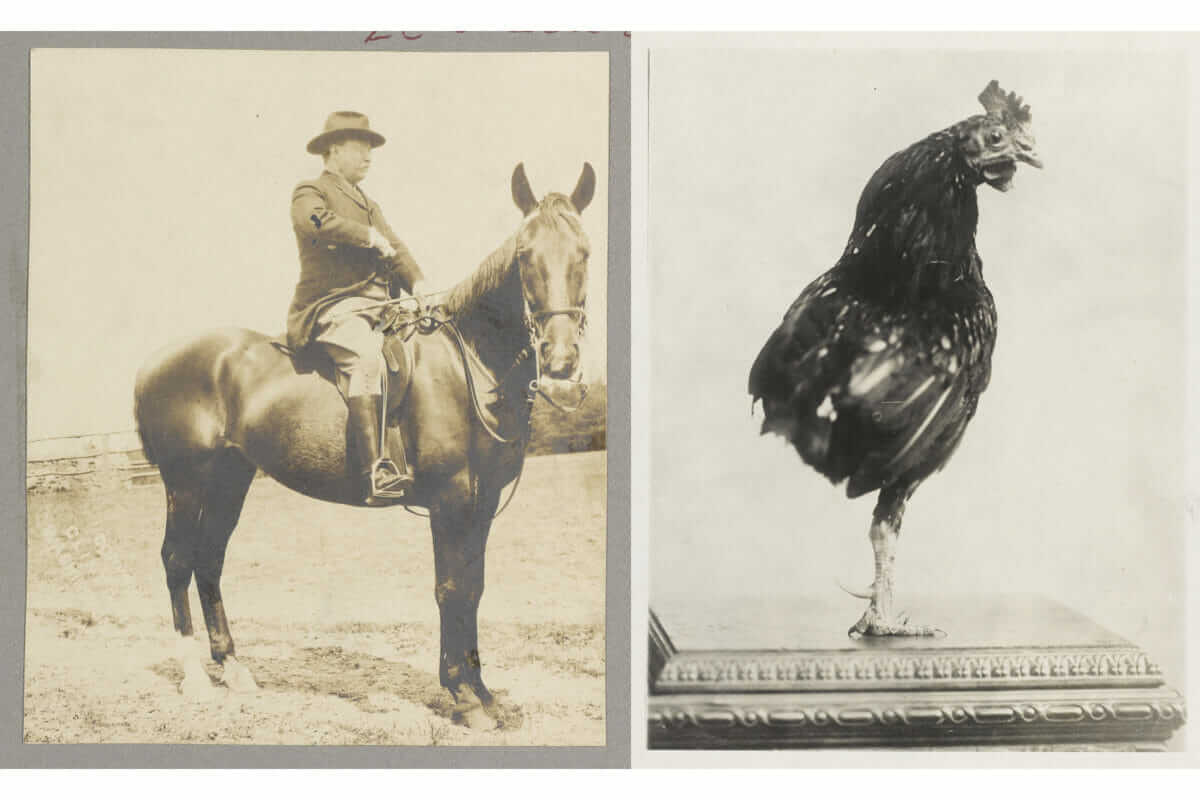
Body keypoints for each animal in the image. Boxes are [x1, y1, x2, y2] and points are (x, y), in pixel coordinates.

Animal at [135, 163, 595, 724]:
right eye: (525, 253)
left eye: (584, 251)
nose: (560, 360)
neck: (468, 360)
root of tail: (156, 362)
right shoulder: (451, 499)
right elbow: (451, 589)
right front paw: (463, 695)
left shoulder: (481, 502)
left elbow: (474, 587)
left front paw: (483, 693)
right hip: (184, 483)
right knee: (178, 561)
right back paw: (196, 677)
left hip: (230, 480)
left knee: (209, 561)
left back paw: (235, 670)